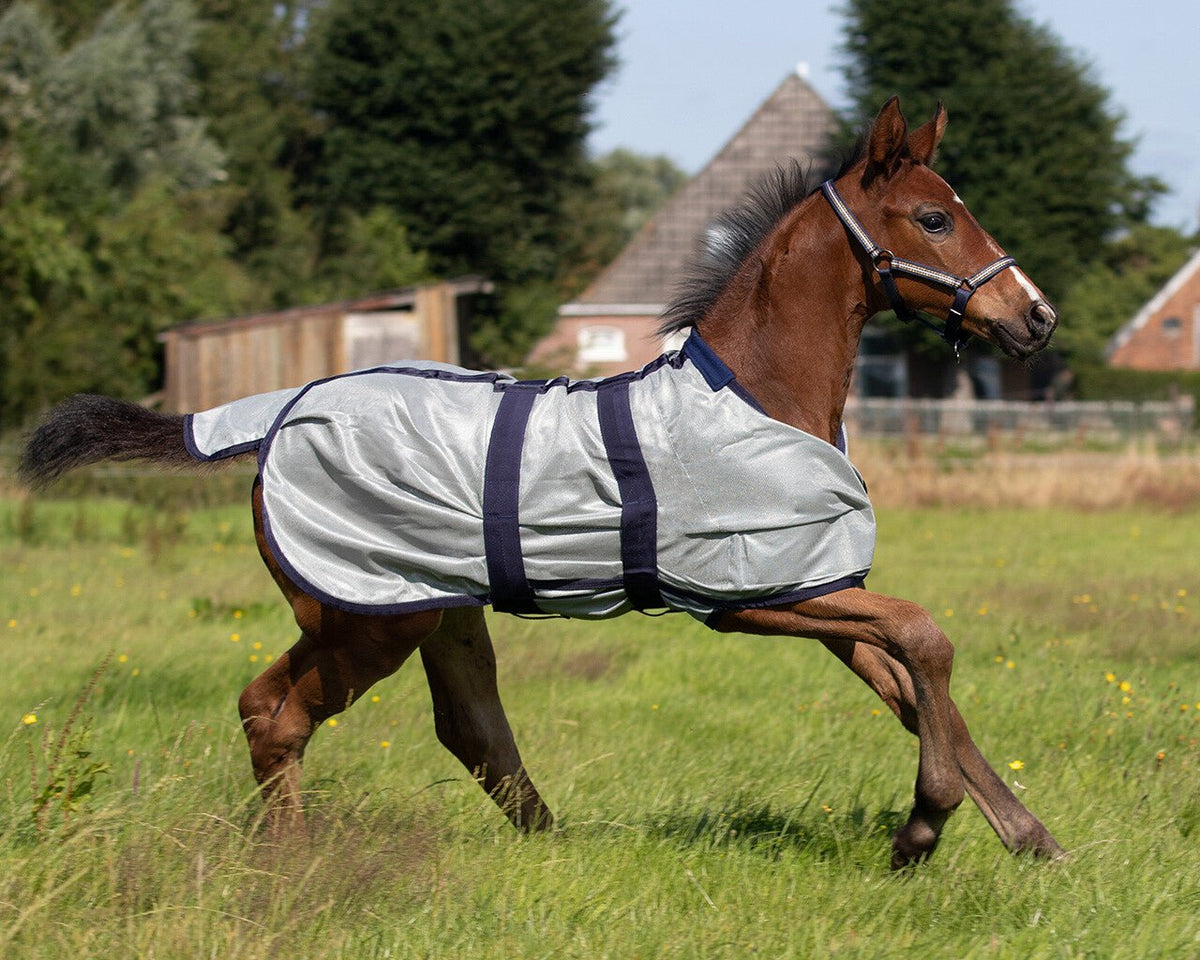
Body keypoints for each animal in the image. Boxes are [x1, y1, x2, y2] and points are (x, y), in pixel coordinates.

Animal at [20, 97, 1063, 869]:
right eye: (934, 218)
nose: (1036, 317)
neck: (760, 394)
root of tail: (269, 415)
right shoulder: (750, 598)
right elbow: (925, 640)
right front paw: (924, 826)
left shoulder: (819, 585)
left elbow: (912, 686)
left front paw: (1027, 836)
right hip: (364, 621)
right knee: (275, 714)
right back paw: (293, 861)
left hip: (434, 612)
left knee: (464, 724)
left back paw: (552, 845)